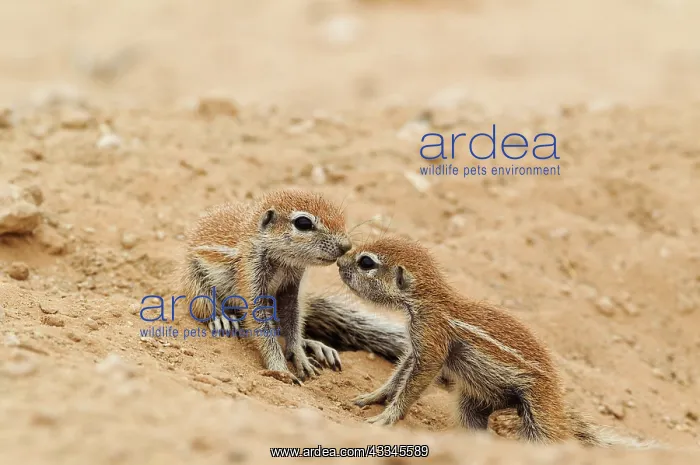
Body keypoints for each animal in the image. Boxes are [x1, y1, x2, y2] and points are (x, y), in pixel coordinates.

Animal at [178, 189, 406, 383]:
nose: (346, 246)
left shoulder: (292, 289)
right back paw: (220, 317)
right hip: (192, 278)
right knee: (202, 301)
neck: (283, 261)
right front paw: (279, 368)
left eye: (339, 215)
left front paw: (299, 353)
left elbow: (293, 320)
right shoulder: (250, 273)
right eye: (303, 223)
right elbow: (260, 325)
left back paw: (313, 345)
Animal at [336, 235, 652, 447]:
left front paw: (386, 418)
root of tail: (555, 391)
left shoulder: (431, 338)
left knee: (551, 436)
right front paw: (372, 397)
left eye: (366, 262)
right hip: (475, 403)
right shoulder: (418, 345)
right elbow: (399, 373)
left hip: (538, 409)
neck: (430, 302)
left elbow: (416, 381)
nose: (339, 262)